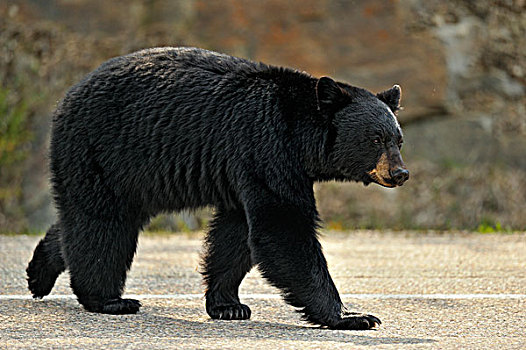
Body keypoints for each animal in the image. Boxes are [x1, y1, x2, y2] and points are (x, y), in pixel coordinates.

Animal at [26, 47, 410, 330]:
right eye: (375, 139)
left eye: (398, 139)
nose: (400, 173)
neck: (300, 134)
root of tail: (67, 96)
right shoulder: (266, 147)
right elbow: (283, 228)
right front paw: (353, 316)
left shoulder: (245, 170)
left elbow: (237, 233)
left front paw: (228, 305)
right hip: (104, 151)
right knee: (102, 222)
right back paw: (109, 299)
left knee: (86, 220)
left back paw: (38, 274)